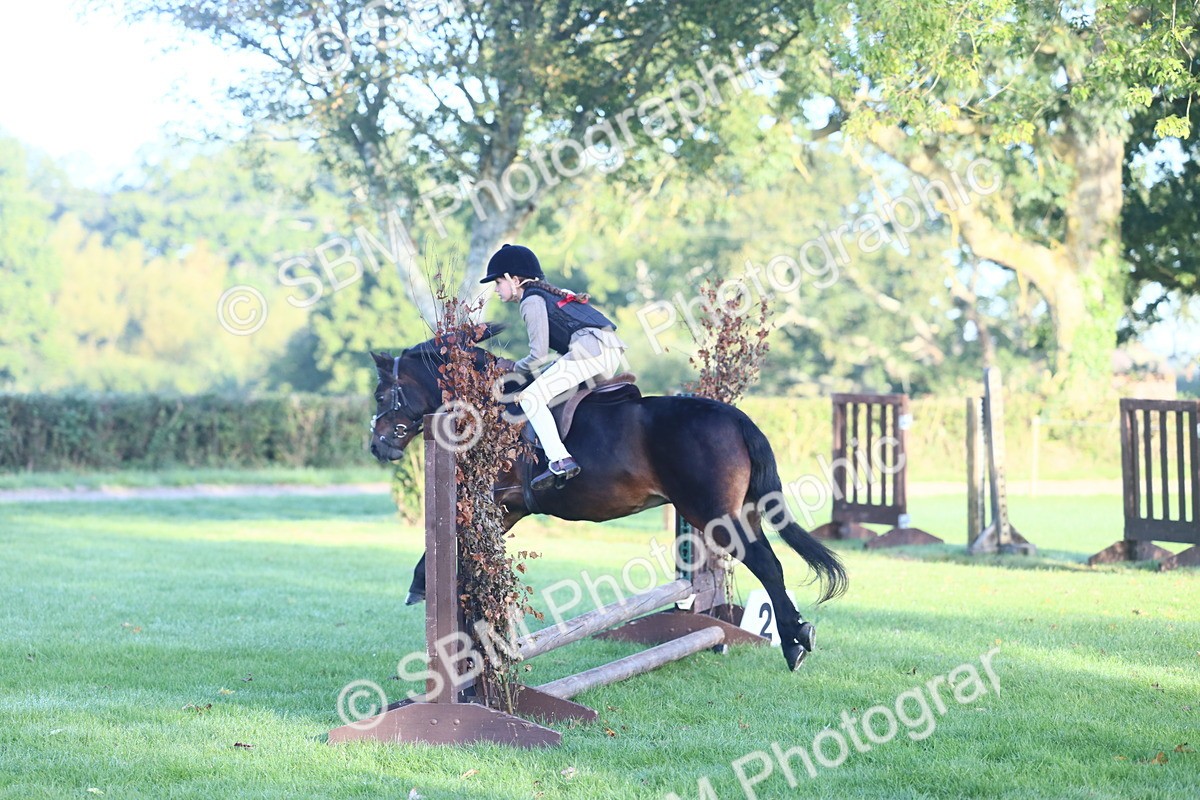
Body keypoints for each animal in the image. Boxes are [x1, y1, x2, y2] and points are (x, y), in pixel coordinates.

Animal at [368, 325, 847, 671]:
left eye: (380, 394)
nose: (376, 447)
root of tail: (734, 416)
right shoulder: (509, 508)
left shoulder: (499, 502)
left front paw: (420, 585)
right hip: (737, 513)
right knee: (769, 563)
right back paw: (791, 635)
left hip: (715, 516)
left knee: (767, 564)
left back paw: (794, 643)